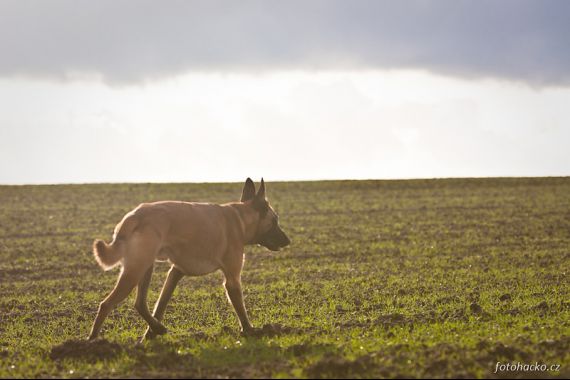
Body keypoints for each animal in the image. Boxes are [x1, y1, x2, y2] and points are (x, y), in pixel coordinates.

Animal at [87, 178, 288, 342]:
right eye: (275, 221)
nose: (288, 241)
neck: (241, 218)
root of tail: (134, 215)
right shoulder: (232, 278)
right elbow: (240, 309)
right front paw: (250, 332)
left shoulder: (176, 272)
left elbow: (160, 305)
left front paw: (150, 335)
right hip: (134, 272)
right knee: (106, 304)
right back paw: (93, 342)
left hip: (145, 267)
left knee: (140, 304)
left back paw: (157, 328)